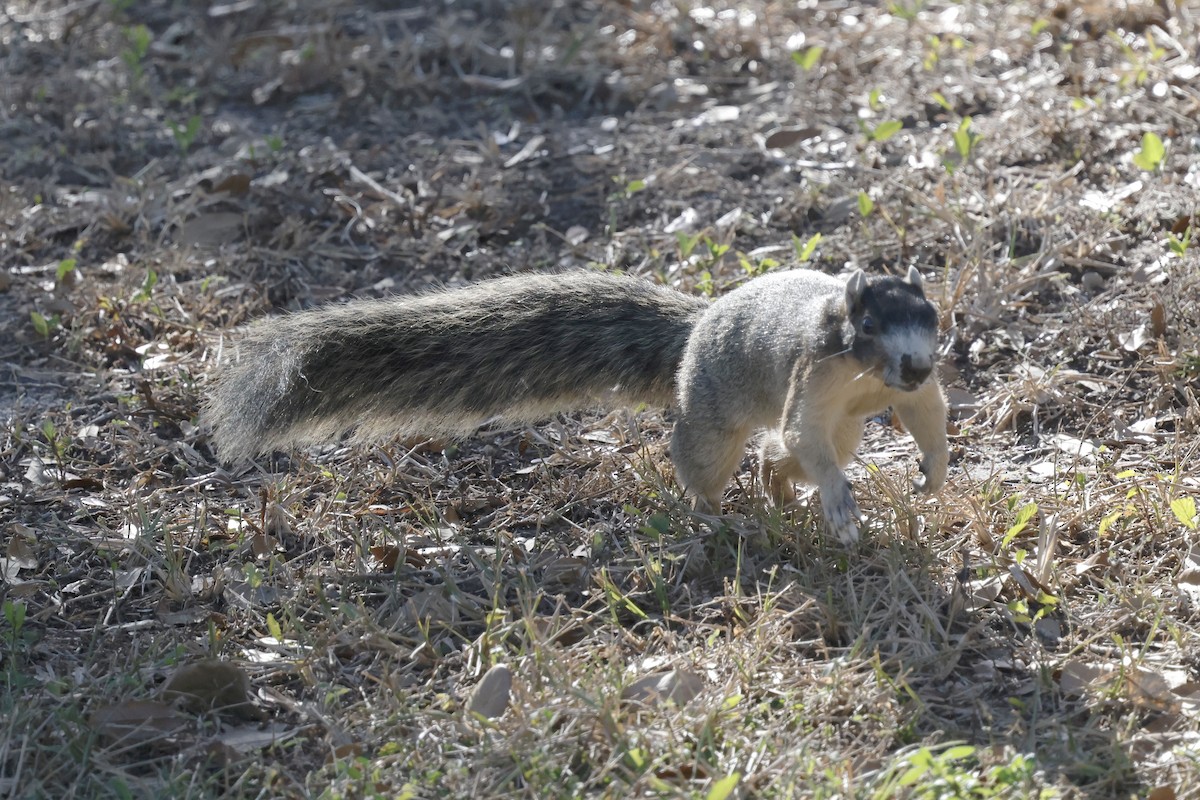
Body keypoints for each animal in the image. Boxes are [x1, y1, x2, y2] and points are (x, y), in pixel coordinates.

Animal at [204, 267, 948, 544]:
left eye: (933, 318)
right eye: (868, 323)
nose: (915, 363)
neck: (867, 375)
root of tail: (697, 329)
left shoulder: (902, 393)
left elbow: (927, 416)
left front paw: (935, 473)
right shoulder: (813, 377)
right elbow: (803, 434)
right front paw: (841, 502)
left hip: (845, 427)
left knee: (780, 454)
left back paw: (778, 492)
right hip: (713, 417)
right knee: (727, 458)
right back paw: (716, 515)